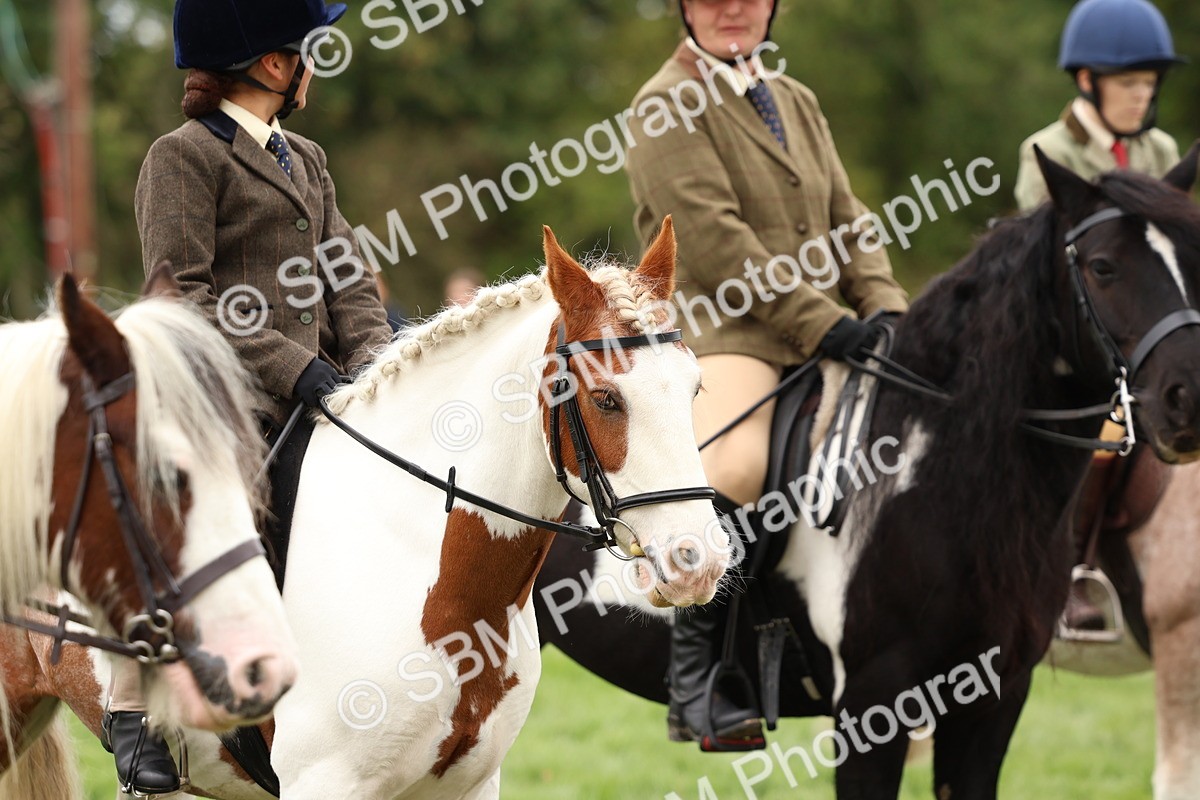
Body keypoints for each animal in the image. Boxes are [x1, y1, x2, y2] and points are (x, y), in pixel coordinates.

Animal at [531, 146, 1200, 799]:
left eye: (1193, 257)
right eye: (1104, 267)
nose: (1187, 398)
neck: (940, 476)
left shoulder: (993, 697)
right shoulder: (874, 701)